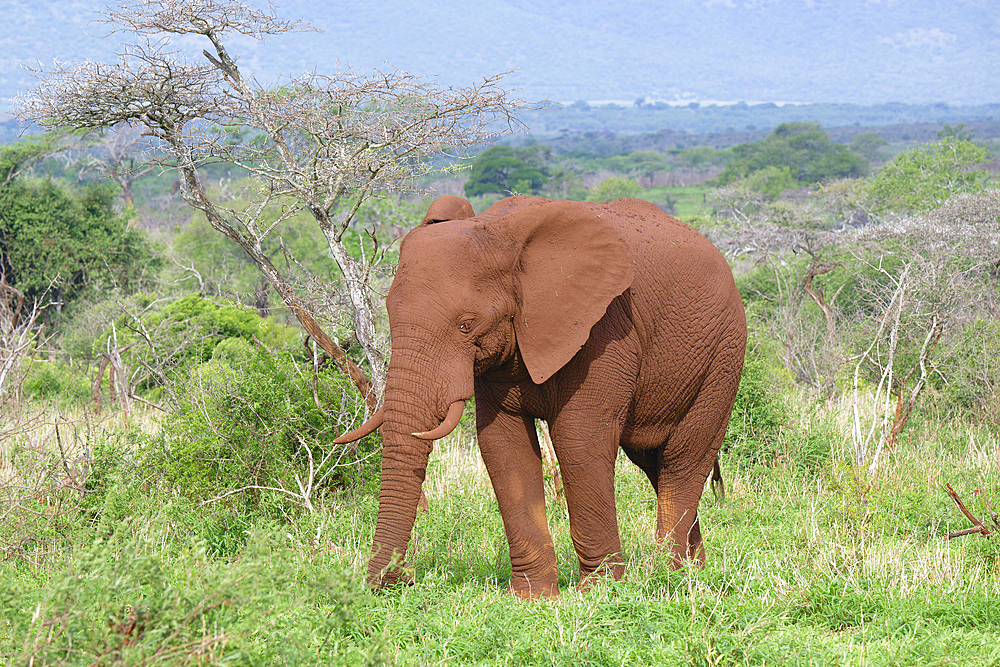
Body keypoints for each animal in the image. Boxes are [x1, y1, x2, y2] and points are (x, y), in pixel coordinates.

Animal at [340, 194, 748, 600]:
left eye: (466, 325)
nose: (402, 578)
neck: (503, 237)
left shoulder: (605, 330)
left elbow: (578, 439)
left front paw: (597, 592)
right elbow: (502, 445)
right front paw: (529, 596)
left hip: (722, 356)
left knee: (682, 460)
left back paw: (668, 576)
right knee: (653, 461)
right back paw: (693, 572)